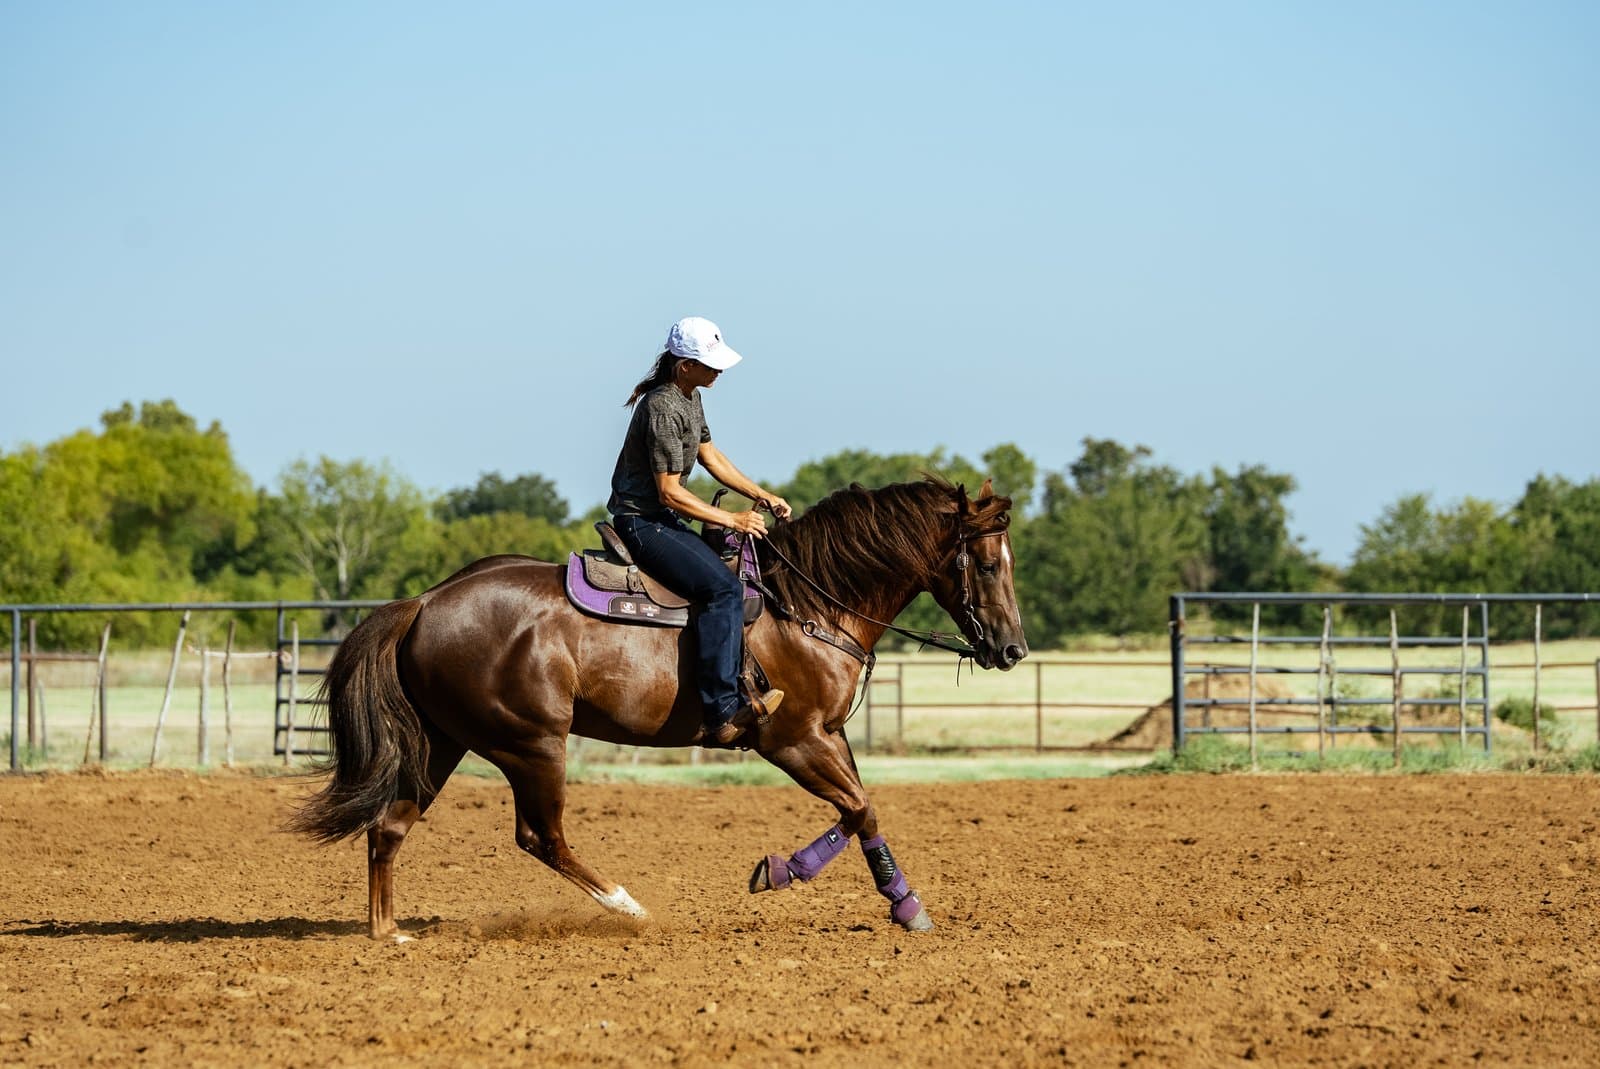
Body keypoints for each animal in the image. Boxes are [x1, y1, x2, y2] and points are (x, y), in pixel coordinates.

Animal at [291, 476, 1027, 940]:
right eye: (989, 565)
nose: (1013, 648)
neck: (806, 603)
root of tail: (425, 602)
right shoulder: (792, 739)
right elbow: (858, 807)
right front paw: (809, 880)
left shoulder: (828, 734)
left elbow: (861, 809)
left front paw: (884, 899)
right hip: (531, 744)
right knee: (541, 836)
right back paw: (629, 908)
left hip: (444, 742)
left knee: (390, 826)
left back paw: (388, 932)